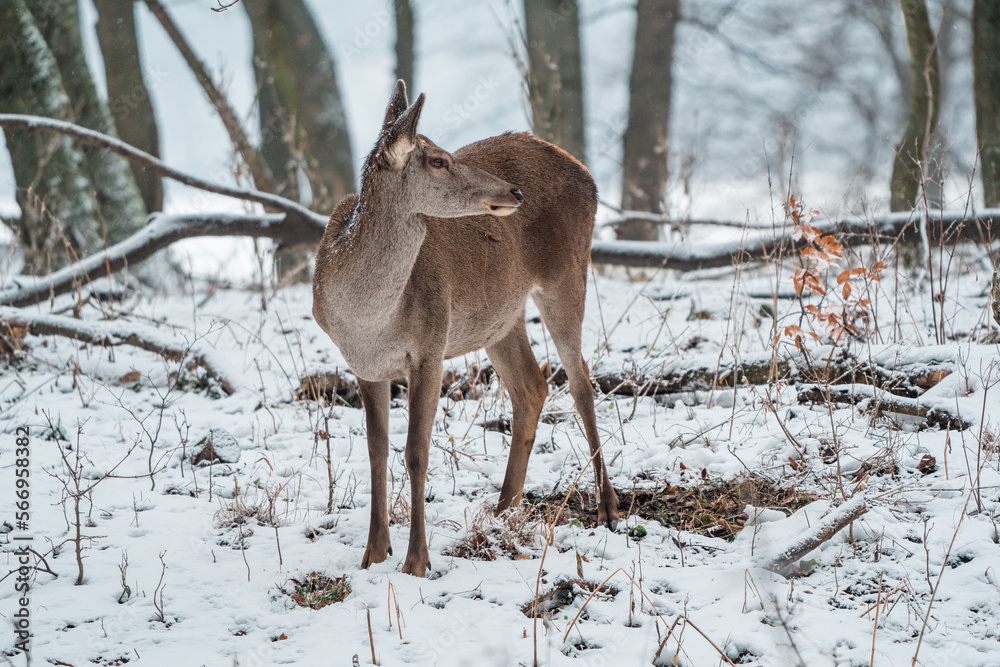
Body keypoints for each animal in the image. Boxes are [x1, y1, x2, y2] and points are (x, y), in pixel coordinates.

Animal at [312, 80, 619, 577]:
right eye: (438, 160)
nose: (514, 191)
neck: (368, 317)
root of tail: (586, 172)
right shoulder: (364, 364)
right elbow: (376, 450)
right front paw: (374, 553)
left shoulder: (430, 344)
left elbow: (416, 452)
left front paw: (416, 561)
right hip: (500, 316)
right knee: (531, 386)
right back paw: (503, 509)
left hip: (567, 272)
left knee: (580, 381)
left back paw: (607, 505)